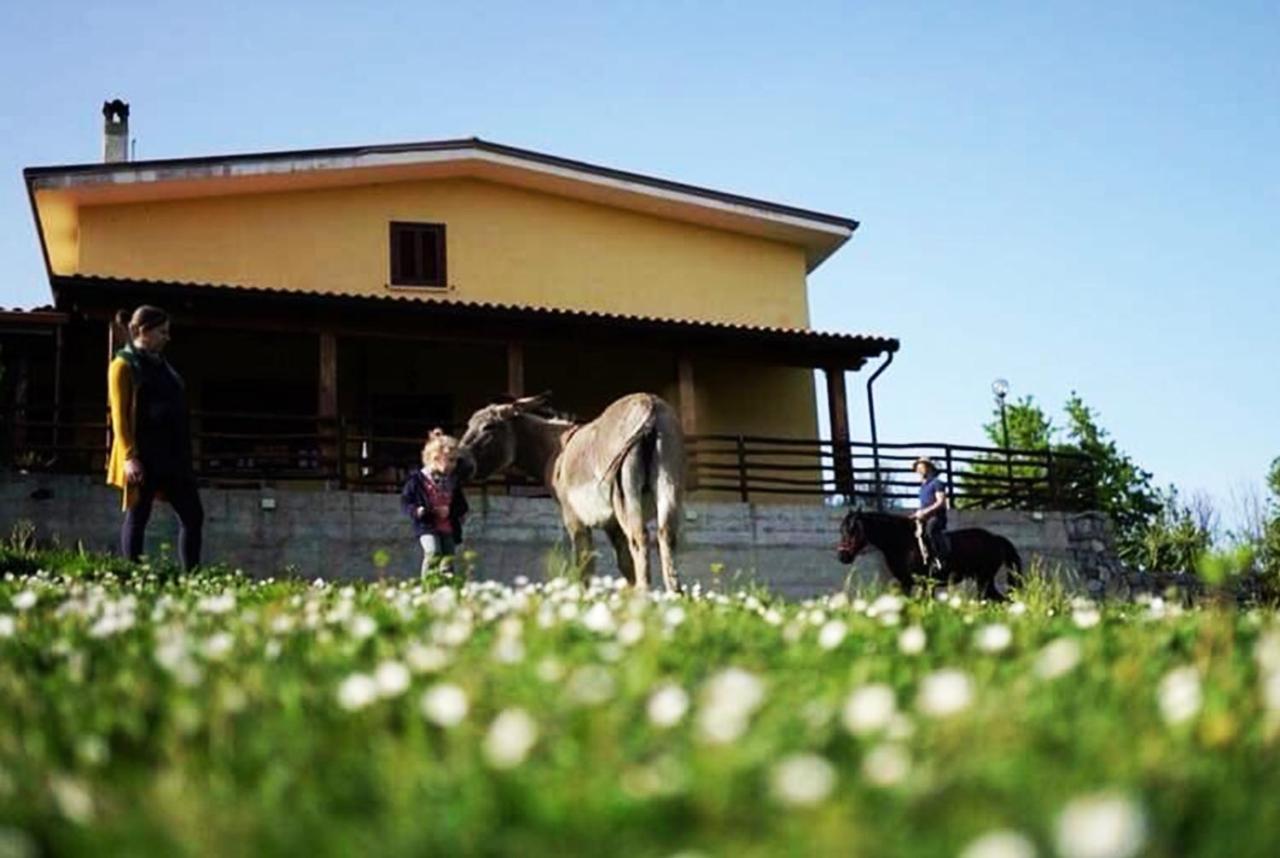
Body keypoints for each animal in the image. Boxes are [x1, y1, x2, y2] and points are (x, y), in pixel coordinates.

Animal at [834, 514, 1024, 601]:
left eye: (853, 530)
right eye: (842, 530)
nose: (842, 556)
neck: (902, 542)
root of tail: (995, 538)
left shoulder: (925, 583)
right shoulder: (906, 583)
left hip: (984, 581)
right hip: (984, 582)